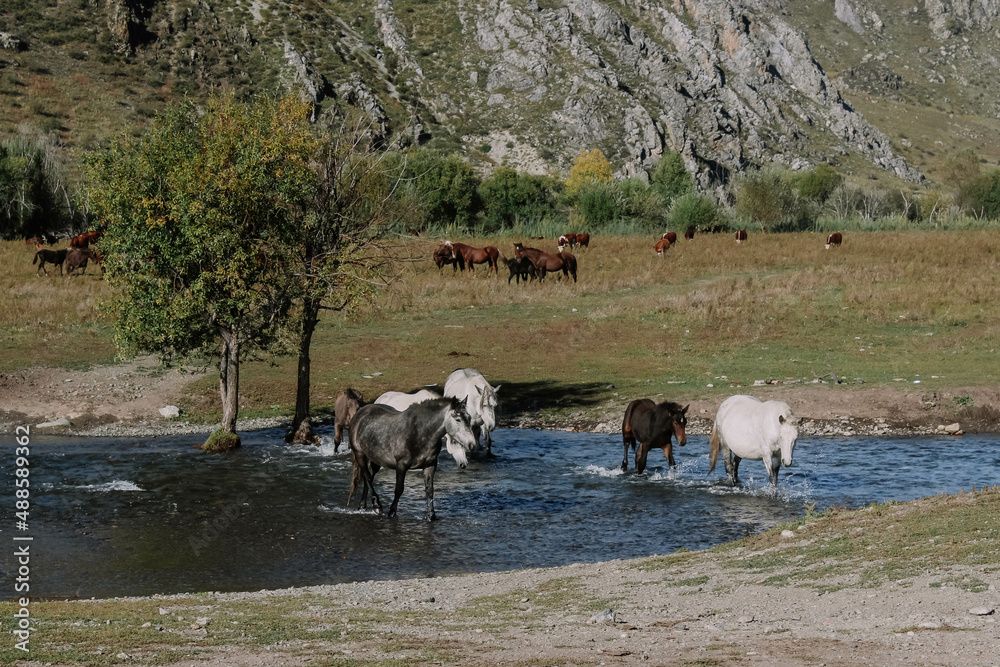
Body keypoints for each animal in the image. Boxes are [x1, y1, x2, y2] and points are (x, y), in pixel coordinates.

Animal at [346, 397, 477, 520]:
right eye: (458, 419)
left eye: (469, 418)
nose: (472, 444)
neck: (419, 432)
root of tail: (360, 412)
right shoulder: (401, 465)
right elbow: (399, 489)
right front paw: (391, 513)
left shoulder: (430, 465)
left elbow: (429, 490)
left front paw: (431, 516)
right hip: (359, 453)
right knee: (367, 476)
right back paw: (377, 506)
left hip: (376, 459)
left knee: (368, 478)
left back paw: (362, 506)